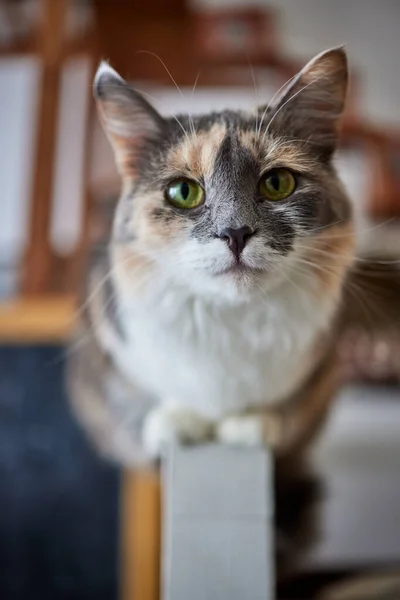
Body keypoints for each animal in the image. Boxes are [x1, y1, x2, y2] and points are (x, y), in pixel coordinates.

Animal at [67, 48, 354, 468]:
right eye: (183, 192)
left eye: (277, 183)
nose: (235, 233)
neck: (229, 321)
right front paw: (177, 421)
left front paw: (251, 423)